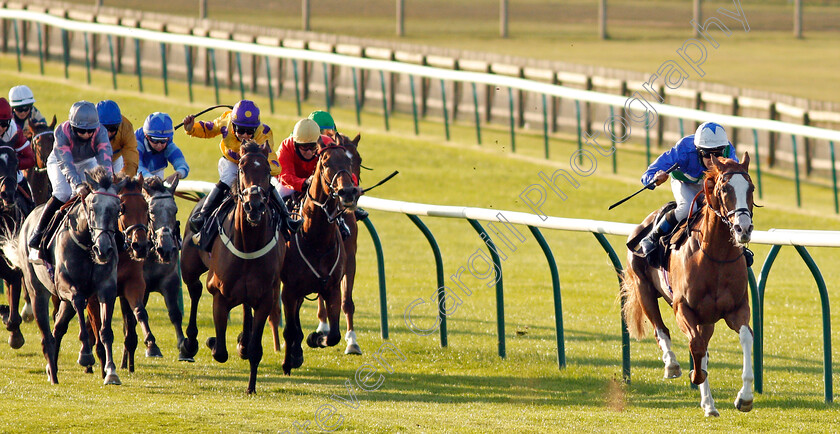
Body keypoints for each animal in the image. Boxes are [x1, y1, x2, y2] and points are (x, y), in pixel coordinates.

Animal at [5, 165, 124, 384]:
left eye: (118, 209)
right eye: (92, 208)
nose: (104, 250)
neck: (87, 245)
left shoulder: (107, 288)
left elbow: (105, 330)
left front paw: (111, 372)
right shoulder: (64, 286)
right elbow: (78, 300)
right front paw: (86, 355)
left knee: (57, 328)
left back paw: (52, 367)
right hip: (37, 292)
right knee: (46, 334)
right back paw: (52, 373)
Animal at [143, 176, 192, 362]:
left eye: (175, 209)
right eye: (150, 211)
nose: (166, 249)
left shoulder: (170, 279)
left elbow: (175, 313)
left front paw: (184, 347)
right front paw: (151, 345)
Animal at [180, 142, 286, 394]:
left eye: (267, 170)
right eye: (242, 168)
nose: (254, 205)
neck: (248, 243)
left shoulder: (265, 298)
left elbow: (255, 349)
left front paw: (251, 386)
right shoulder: (220, 295)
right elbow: (219, 351)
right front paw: (211, 341)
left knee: (246, 307)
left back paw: (243, 342)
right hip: (189, 266)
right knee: (195, 290)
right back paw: (190, 343)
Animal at [280, 141, 362, 374]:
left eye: (349, 162)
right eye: (325, 163)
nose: (348, 192)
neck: (316, 239)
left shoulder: (332, 286)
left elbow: (333, 334)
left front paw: (316, 338)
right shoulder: (289, 289)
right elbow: (290, 328)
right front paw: (288, 361)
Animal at [620, 153, 756, 418]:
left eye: (751, 188)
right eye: (724, 189)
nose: (743, 228)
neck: (716, 256)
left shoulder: (736, 309)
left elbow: (746, 337)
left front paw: (744, 397)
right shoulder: (683, 308)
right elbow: (696, 346)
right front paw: (694, 375)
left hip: (707, 319)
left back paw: (709, 405)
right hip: (643, 289)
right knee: (661, 329)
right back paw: (672, 365)